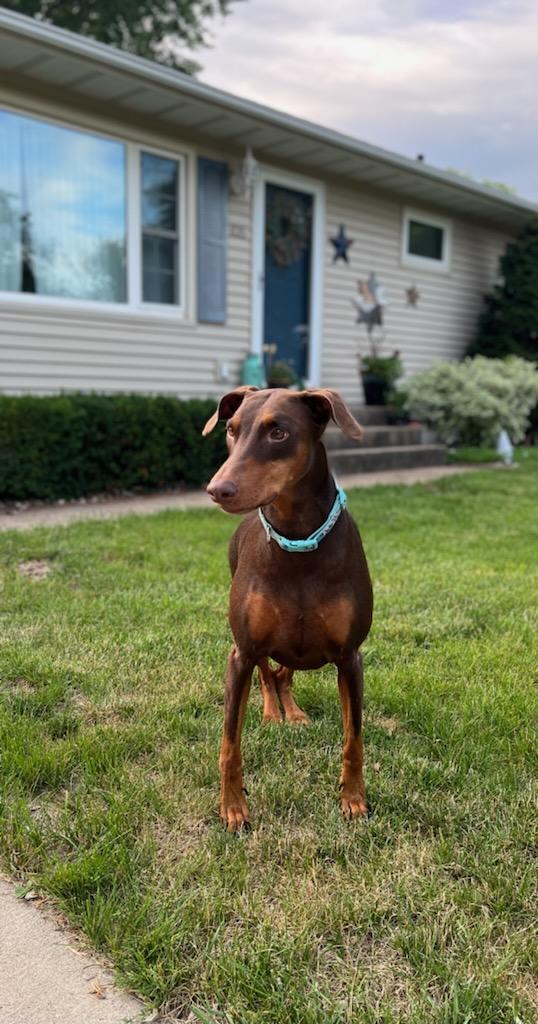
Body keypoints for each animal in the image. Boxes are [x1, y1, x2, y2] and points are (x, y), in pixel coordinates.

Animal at [203, 385, 370, 831]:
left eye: (278, 432)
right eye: (231, 429)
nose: (217, 489)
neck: (297, 539)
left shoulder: (350, 657)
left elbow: (353, 737)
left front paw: (353, 799)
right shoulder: (241, 653)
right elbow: (230, 742)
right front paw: (232, 807)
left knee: (285, 674)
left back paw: (292, 713)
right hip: (261, 643)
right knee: (268, 674)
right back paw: (271, 713)